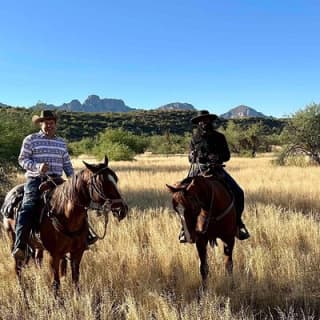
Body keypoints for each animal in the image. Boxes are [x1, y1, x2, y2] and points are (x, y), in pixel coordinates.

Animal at [1, 156, 129, 294]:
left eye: (115, 179)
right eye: (101, 183)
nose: (122, 210)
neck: (66, 214)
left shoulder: (77, 252)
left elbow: (75, 280)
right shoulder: (54, 255)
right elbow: (56, 284)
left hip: (37, 245)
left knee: (37, 259)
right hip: (12, 238)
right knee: (18, 266)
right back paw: (22, 291)